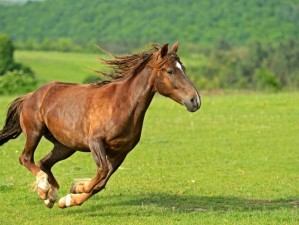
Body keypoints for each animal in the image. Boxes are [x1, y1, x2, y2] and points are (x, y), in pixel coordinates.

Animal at [0, 41, 202, 207]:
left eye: (183, 68)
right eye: (170, 71)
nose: (195, 100)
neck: (122, 104)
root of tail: (30, 95)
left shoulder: (121, 152)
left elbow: (101, 183)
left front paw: (70, 198)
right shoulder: (95, 142)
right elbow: (102, 172)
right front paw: (78, 187)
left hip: (65, 146)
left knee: (44, 162)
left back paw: (50, 195)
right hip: (35, 132)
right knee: (26, 158)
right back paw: (44, 187)